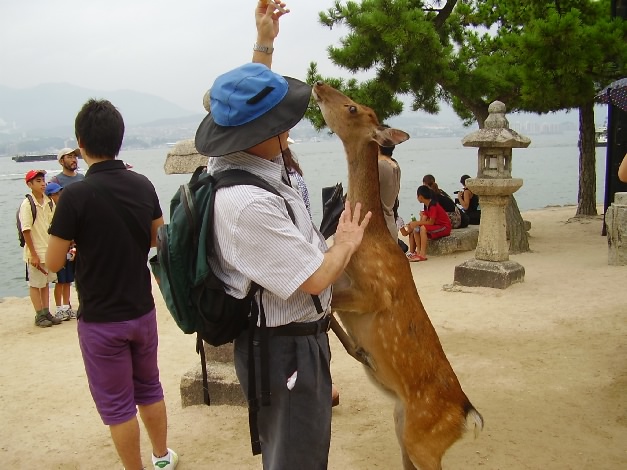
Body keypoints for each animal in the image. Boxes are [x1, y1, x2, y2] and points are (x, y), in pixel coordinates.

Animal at [314, 81, 486, 470]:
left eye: (352, 108)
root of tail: (468, 415)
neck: (368, 239)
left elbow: (330, 301)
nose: (318, 84)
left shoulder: (374, 291)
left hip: (423, 440)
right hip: (402, 423)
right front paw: (357, 350)